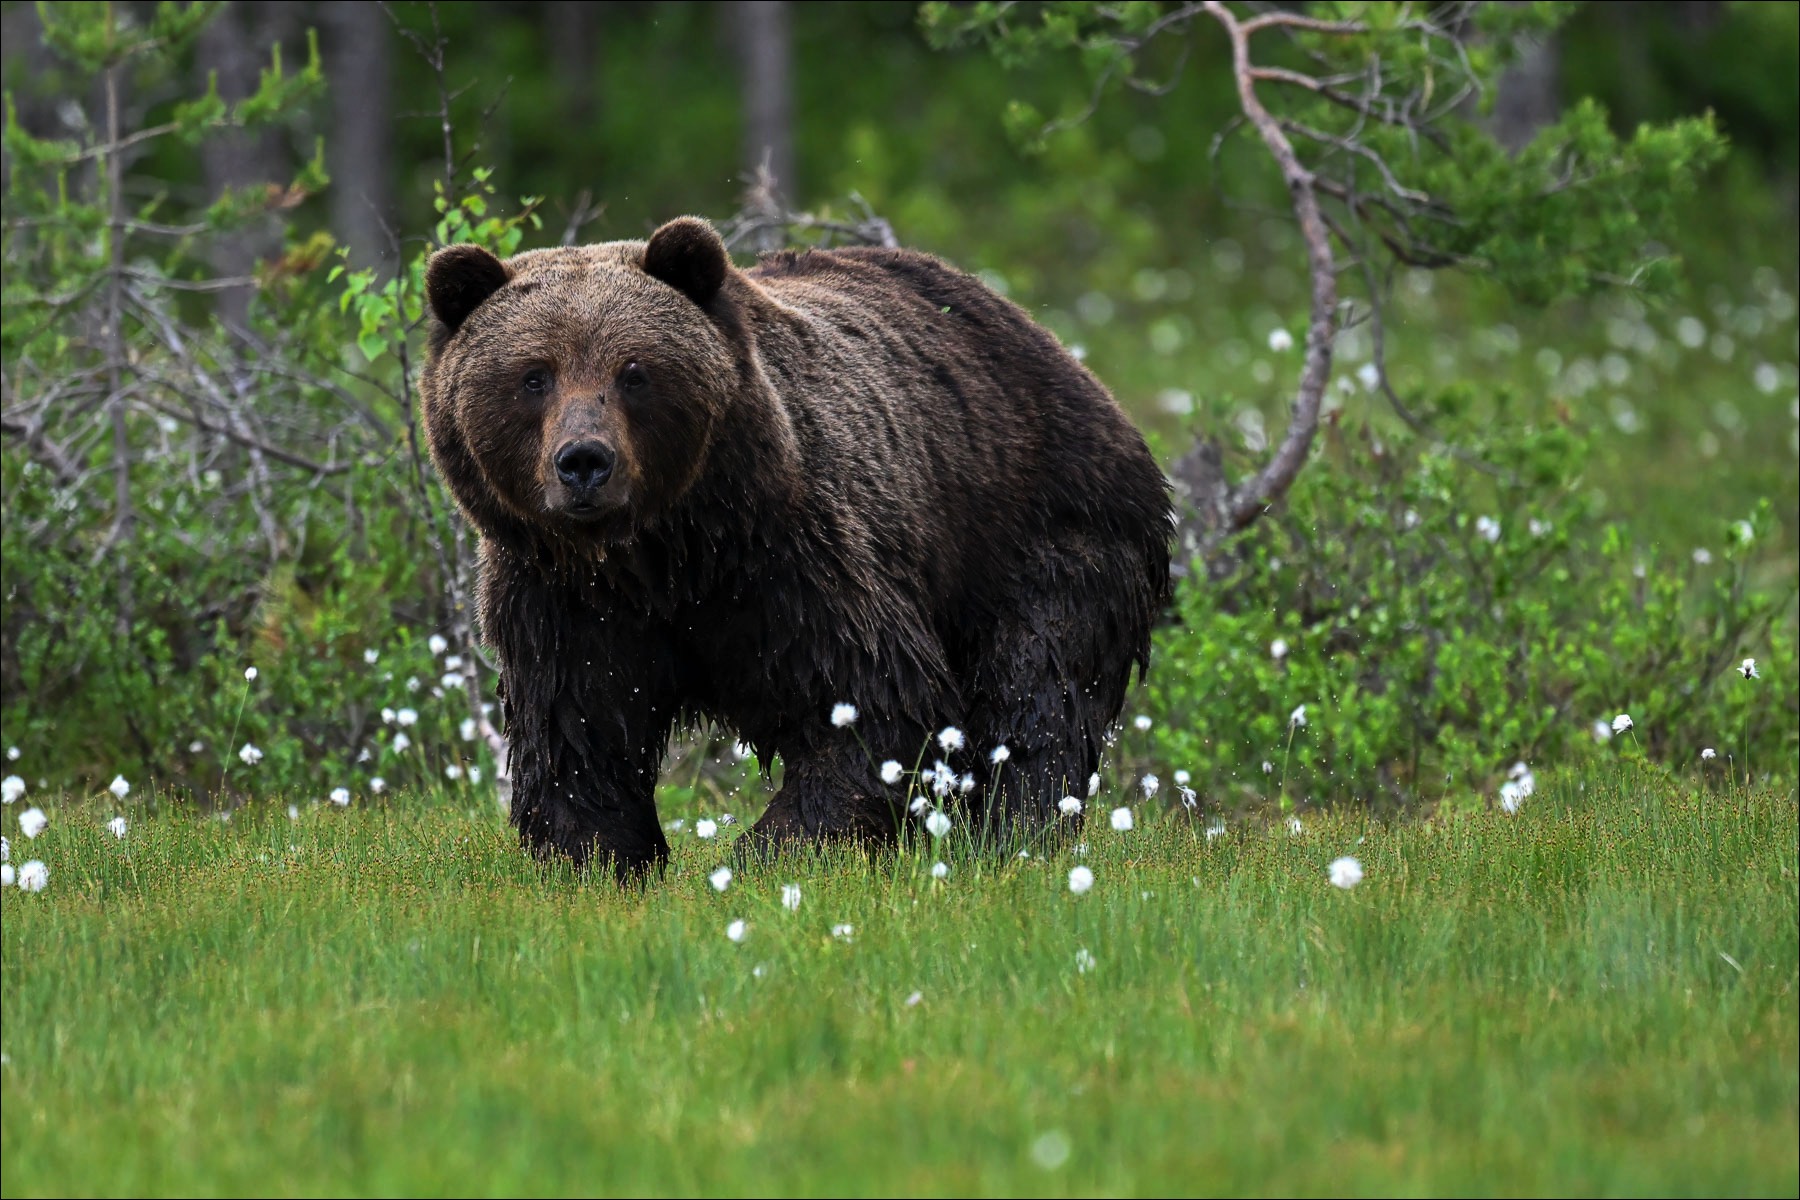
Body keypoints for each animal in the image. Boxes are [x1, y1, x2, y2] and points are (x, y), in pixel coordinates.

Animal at [428, 215, 1173, 877]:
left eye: (634, 371)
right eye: (534, 375)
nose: (584, 461)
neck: (665, 554)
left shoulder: (792, 559)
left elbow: (870, 699)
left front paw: (772, 852)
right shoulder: (562, 598)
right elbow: (577, 728)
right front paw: (596, 857)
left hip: (1043, 531)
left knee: (1038, 689)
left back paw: (1011, 836)